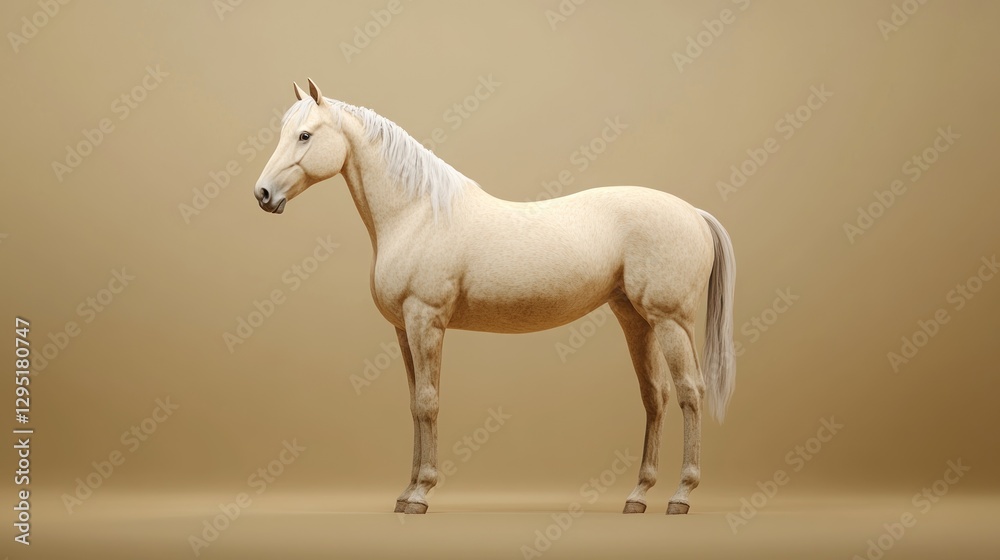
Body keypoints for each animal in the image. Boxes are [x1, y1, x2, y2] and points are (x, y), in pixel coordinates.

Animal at [254, 79, 736, 515]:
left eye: (305, 135)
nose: (262, 194)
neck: (418, 214)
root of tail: (694, 213)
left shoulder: (425, 320)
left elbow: (428, 402)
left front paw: (421, 493)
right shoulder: (403, 329)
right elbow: (414, 404)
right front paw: (406, 492)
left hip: (670, 321)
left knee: (690, 391)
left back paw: (681, 495)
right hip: (635, 319)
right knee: (655, 396)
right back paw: (638, 495)